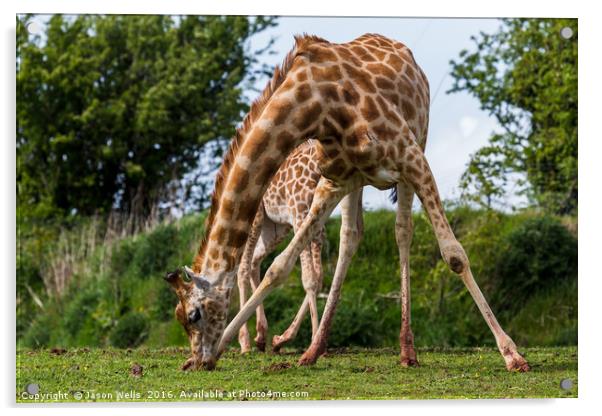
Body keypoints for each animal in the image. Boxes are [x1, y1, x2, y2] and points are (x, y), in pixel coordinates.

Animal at [176, 31, 528, 370]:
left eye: (194, 315)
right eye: (181, 318)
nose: (196, 359)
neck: (314, 107)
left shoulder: (411, 156)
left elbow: (454, 255)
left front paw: (511, 354)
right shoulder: (335, 180)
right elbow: (280, 267)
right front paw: (224, 350)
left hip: (417, 146)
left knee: (403, 231)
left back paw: (407, 350)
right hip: (355, 182)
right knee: (351, 237)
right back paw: (314, 349)